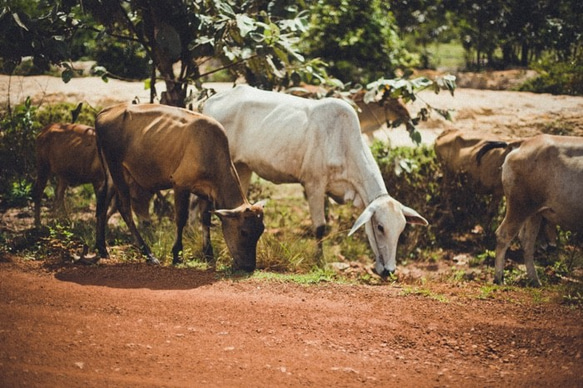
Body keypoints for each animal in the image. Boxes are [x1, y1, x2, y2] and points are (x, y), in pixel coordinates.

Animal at [95, 103, 266, 272]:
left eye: (261, 231)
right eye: (244, 232)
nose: (249, 266)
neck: (210, 150)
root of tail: (106, 111)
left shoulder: (206, 192)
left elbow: (205, 220)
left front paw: (209, 255)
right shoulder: (180, 184)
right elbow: (181, 219)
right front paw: (177, 255)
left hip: (111, 172)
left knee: (102, 201)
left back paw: (102, 248)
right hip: (117, 168)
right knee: (124, 207)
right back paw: (149, 254)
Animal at [202, 85, 428, 276]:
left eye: (401, 228)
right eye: (380, 227)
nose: (389, 271)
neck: (343, 143)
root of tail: (211, 101)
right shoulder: (314, 185)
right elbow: (320, 227)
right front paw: (320, 262)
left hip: (243, 167)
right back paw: (208, 254)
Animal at [488, 135, 583, 286]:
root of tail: (524, 142)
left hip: (534, 213)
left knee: (527, 242)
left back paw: (534, 280)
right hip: (520, 207)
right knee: (504, 235)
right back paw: (499, 278)